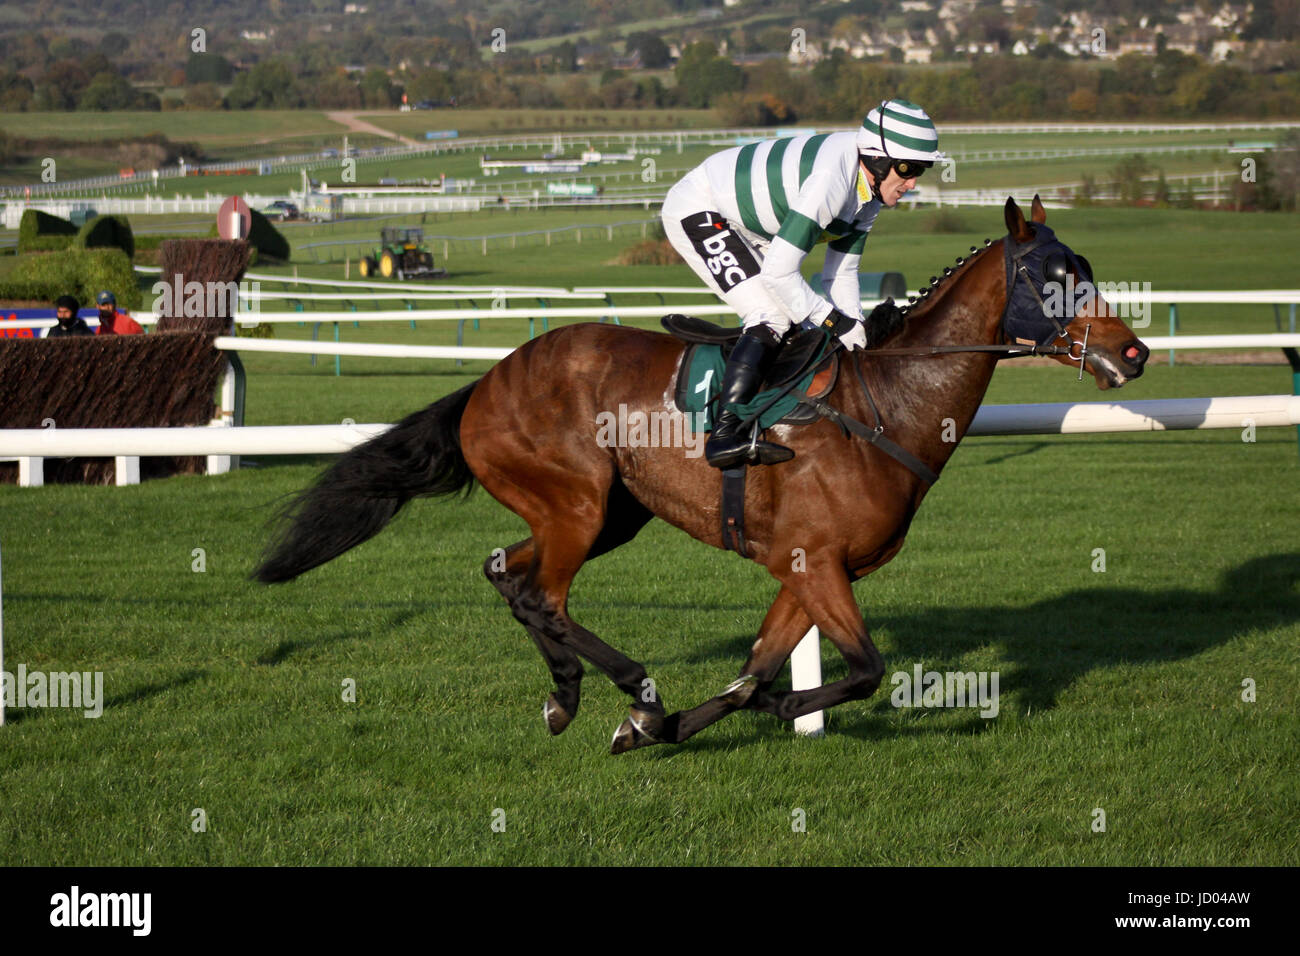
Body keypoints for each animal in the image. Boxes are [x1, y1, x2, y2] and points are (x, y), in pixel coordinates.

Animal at [253, 197, 1149, 754]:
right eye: (1052, 278)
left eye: (1088, 268)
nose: (1134, 351)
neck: (887, 406)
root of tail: (488, 380)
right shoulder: (817, 563)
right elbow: (861, 670)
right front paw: (737, 711)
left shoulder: (808, 567)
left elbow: (755, 670)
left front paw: (671, 727)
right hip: (577, 504)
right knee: (545, 595)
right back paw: (629, 690)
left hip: (610, 513)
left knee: (506, 571)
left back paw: (572, 695)